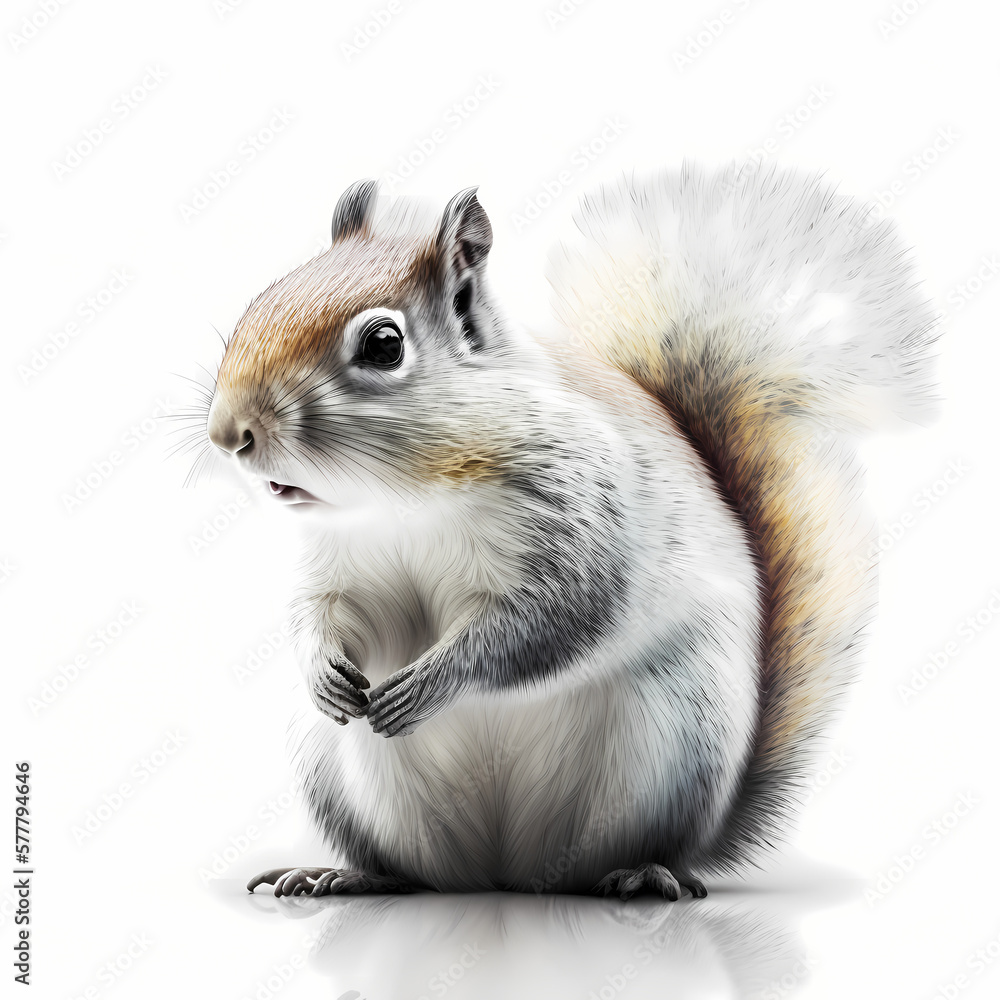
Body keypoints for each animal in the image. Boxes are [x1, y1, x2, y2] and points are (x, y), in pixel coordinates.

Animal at [204, 163, 940, 900]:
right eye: (255, 307)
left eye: (384, 345)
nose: (226, 433)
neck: (402, 500)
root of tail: (503, 876)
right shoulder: (339, 563)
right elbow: (322, 612)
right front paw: (322, 671)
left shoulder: (581, 511)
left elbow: (551, 619)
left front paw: (431, 683)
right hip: (338, 774)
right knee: (411, 871)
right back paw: (346, 875)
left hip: (675, 736)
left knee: (640, 850)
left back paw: (646, 873)